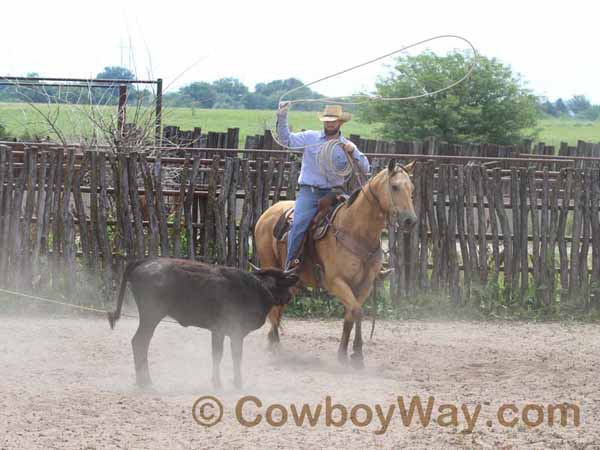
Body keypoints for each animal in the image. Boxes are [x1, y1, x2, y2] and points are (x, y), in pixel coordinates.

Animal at [254, 160, 418, 368]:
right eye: (395, 187)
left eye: (411, 188)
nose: (410, 221)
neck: (356, 231)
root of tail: (268, 212)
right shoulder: (336, 282)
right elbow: (357, 311)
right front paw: (357, 355)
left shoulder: (364, 285)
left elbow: (351, 315)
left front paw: (344, 354)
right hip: (272, 265)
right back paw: (274, 346)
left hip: (294, 282)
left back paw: (273, 342)